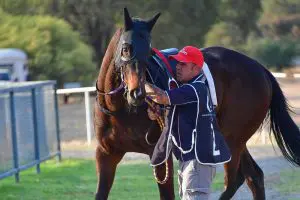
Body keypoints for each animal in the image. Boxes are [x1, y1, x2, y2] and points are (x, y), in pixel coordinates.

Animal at [94, 7, 300, 200]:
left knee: (234, 180)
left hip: (233, 139)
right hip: (233, 137)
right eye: (126, 48)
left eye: (149, 51)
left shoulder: (160, 156)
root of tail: (261, 69)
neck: (121, 110)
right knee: (254, 177)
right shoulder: (106, 154)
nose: (138, 93)